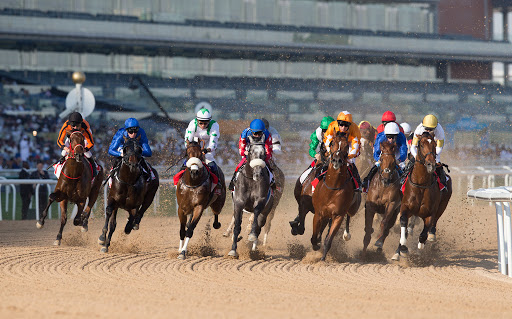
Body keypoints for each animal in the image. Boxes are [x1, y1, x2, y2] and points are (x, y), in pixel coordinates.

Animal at [310, 131, 362, 262]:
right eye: (332, 143)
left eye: (347, 145)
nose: (337, 160)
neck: (332, 188)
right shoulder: (319, 213)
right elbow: (314, 236)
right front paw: (316, 245)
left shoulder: (338, 216)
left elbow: (329, 239)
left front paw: (323, 258)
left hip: (352, 209)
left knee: (349, 216)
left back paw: (346, 234)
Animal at [392, 132, 452, 260]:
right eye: (421, 145)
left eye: (434, 145)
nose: (431, 165)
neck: (421, 185)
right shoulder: (405, 207)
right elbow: (403, 224)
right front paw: (402, 249)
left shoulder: (429, 213)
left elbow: (424, 233)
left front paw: (421, 246)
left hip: (443, 205)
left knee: (433, 224)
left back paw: (431, 236)